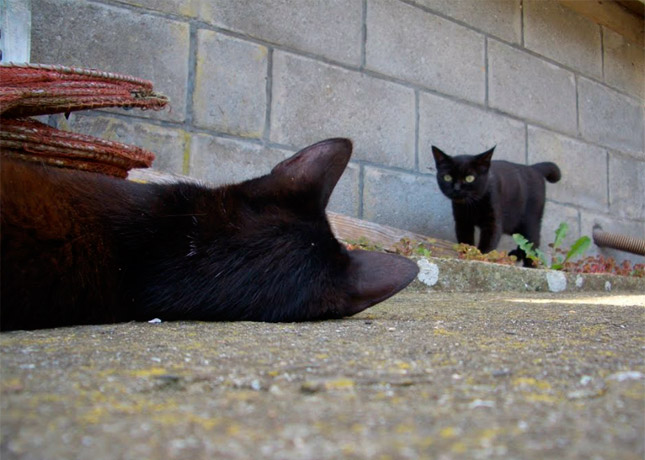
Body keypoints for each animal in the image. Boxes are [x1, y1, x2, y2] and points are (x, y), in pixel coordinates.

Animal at [430, 144, 560, 266]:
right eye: (447, 177)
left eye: (469, 178)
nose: (456, 188)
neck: (472, 205)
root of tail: (533, 168)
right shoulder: (463, 222)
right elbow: (465, 240)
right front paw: (466, 254)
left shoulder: (493, 222)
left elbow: (488, 242)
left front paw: (481, 258)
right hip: (513, 225)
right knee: (522, 240)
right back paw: (517, 255)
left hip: (530, 220)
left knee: (532, 243)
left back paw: (530, 265)